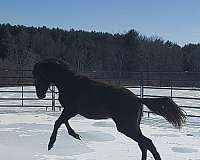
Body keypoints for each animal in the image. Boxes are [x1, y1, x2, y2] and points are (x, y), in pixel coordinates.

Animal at [32, 58, 185, 160]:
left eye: (38, 76)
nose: (40, 95)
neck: (70, 83)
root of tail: (137, 99)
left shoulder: (71, 110)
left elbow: (58, 122)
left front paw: (51, 144)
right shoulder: (69, 111)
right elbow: (63, 122)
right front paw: (75, 135)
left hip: (126, 127)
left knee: (147, 142)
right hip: (133, 127)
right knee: (144, 144)